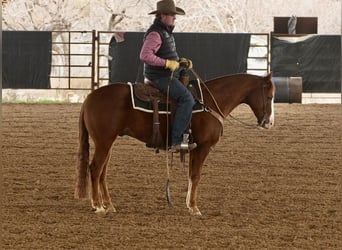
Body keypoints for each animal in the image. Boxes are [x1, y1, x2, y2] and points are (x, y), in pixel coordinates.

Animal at [74, 72, 276, 215]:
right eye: (269, 97)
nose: (269, 123)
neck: (209, 101)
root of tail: (89, 97)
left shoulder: (193, 148)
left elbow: (191, 175)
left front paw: (189, 204)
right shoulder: (203, 147)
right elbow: (196, 175)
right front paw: (194, 208)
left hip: (108, 142)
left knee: (102, 172)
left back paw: (109, 205)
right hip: (103, 141)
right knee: (95, 169)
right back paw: (98, 206)